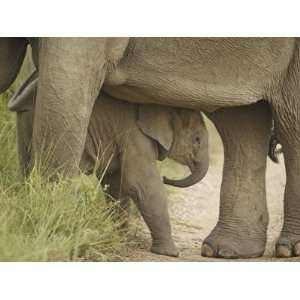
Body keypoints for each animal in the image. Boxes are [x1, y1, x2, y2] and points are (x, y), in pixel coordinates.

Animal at [7, 75, 209, 258]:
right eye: (197, 140)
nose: (166, 178)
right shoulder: (135, 135)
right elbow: (140, 183)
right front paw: (171, 253)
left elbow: (117, 183)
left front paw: (120, 238)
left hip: (25, 121)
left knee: (26, 167)